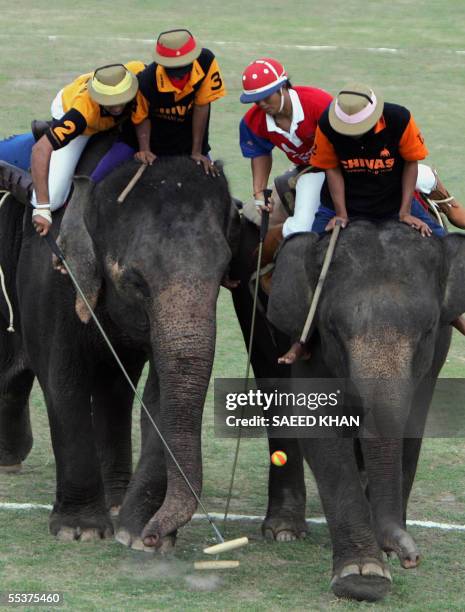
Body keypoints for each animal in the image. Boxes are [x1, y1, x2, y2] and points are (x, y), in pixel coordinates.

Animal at [264, 221, 464, 604]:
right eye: (333, 331)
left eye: (427, 330)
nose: (410, 557)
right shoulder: (309, 339)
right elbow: (318, 428)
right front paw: (363, 576)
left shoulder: (436, 355)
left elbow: (412, 428)